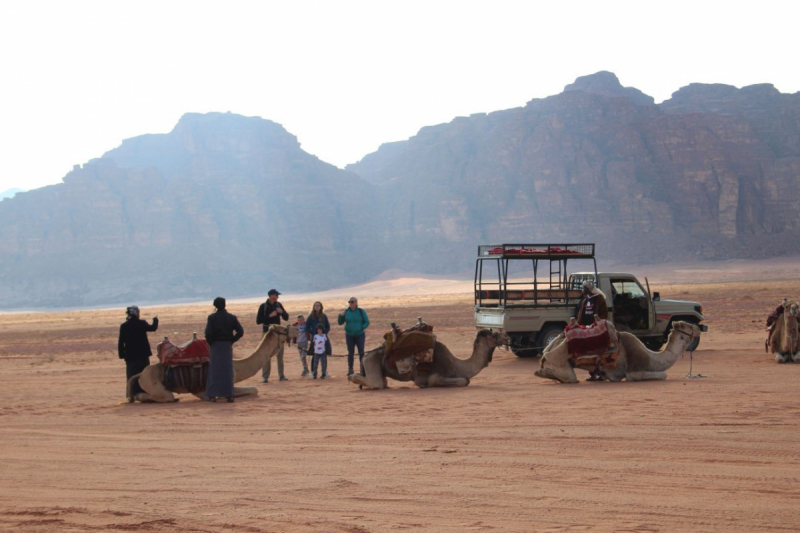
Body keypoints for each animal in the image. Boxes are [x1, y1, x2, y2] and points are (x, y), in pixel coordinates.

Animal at [127, 322, 296, 402]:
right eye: (283, 328)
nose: (296, 330)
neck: (236, 367)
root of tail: (140, 374)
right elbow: (254, 389)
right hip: (153, 383)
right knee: (164, 396)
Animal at [346, 326, 510, 388]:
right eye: (492, 335)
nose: (507, 336)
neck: (457, 365)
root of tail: (366, 356)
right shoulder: (432, 377)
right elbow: (464, 381)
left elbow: (466, 379)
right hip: (372, 363)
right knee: (376, 383)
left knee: (382, 383)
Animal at [536, 320, 704, 382]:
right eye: (688, 325)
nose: (699, 327)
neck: (651, 357)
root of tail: (547, 349)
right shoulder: (634, 371)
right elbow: (663, 374)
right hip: (558, 357)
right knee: (570, 377)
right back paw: (541, 372)